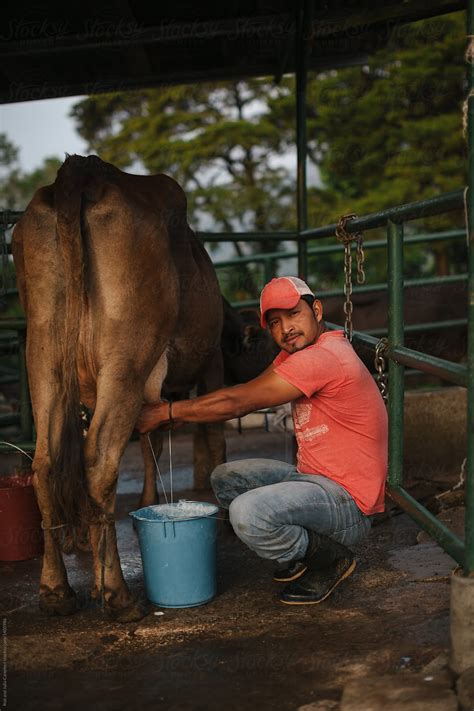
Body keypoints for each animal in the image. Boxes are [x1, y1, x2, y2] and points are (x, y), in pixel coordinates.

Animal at [12, 156, 225, 624]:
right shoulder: (214, 364)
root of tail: (84, 169)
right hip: (127, 353)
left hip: (43, 351)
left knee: (47, 464)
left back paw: (57, 592)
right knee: (98, 462)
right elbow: (215, 437)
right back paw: (118, 596)